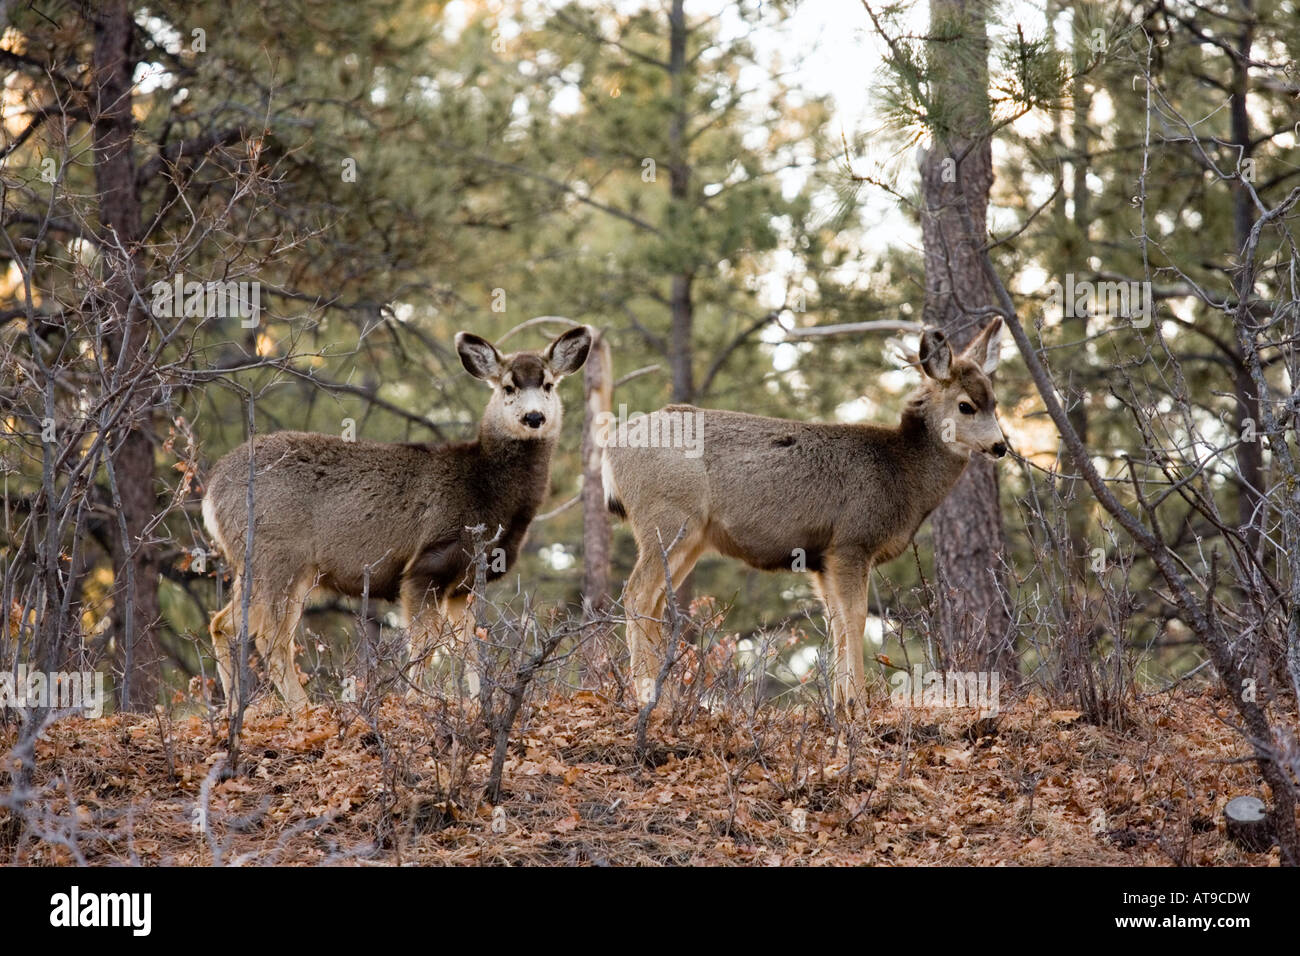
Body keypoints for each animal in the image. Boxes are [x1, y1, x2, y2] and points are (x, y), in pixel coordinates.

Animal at [202, 325, 593, 710]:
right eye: (508, 386)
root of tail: (211, 491)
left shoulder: (463, 584)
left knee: (223, 624)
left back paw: (237, 711)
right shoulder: (427, 564)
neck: (487, 490)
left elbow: (471, 646)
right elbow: (427, 643)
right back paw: (302, 713)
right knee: (269, 638)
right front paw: (414, 703)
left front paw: (479, 705)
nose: (534, 418)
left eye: (548, 384)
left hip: (266, 567)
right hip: (277, 557)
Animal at [602, 318, 1007, 713]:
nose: (1000, 446)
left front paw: (840, 701)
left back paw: (667, 697)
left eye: (995, 401)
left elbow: (837, 622)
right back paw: (649, 698)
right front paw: (858, 704)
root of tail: (611, 447)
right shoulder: (851, 541)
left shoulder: (821, 559)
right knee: (636, 595)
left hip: (692, 538)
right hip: (668, 518)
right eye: (966, 405)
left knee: (655, 603)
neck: (904, 473)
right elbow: (856, 618)